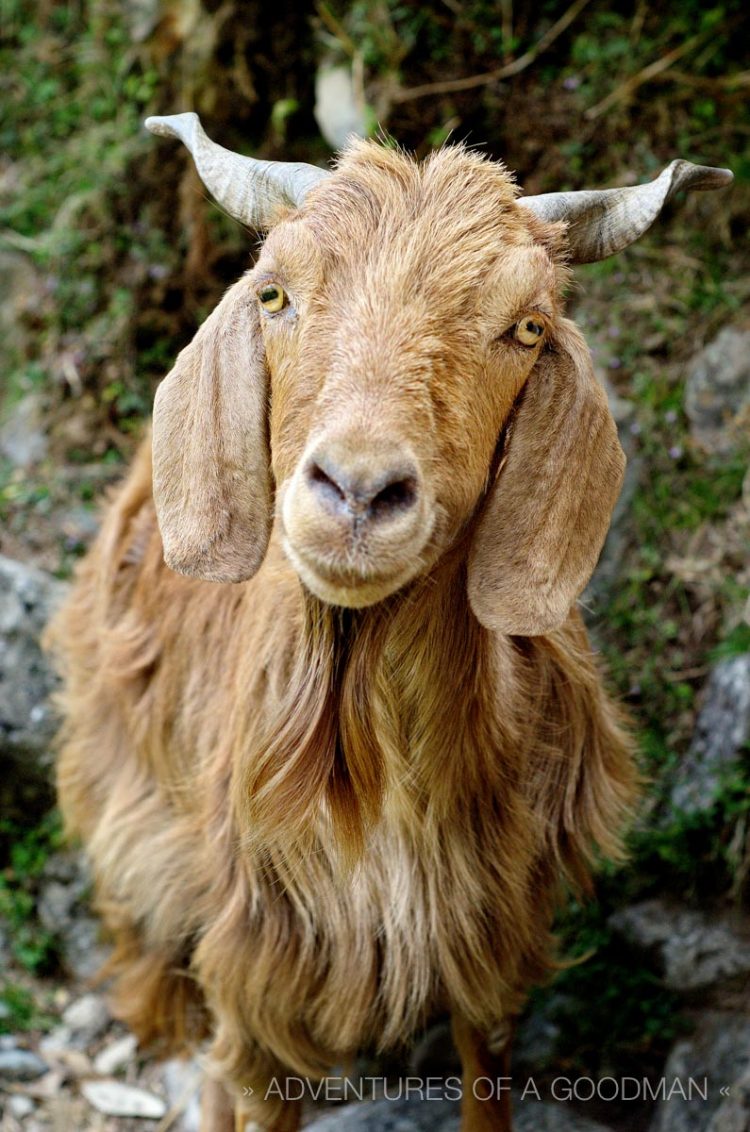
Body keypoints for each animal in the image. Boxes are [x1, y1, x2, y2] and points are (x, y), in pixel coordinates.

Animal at [48, 112, 733, 1132]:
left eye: (526, 326)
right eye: (276, 292)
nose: (359, 490)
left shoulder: (490, 937)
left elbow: (486, 1078)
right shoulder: (264, 966)